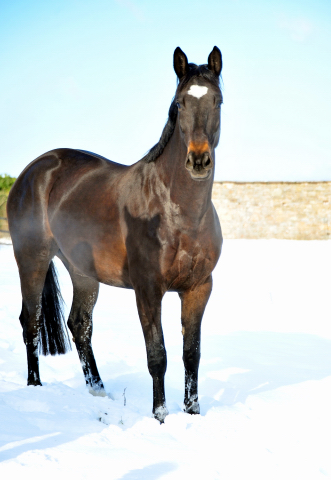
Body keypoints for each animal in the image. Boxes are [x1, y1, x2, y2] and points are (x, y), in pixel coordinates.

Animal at [7, 47, 223, 422]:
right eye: (180, 103)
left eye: (218, 101)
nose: (198, 161)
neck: (178, 213)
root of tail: (35, 170)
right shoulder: (148, 290)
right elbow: (158, 355)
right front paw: (160, 416)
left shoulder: (198, 288)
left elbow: (191, 355)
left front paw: (193, 413)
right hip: (31, 260)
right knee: (30, 322)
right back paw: (35, 387)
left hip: (82, 272)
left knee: (79, 325)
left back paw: (97, 390)